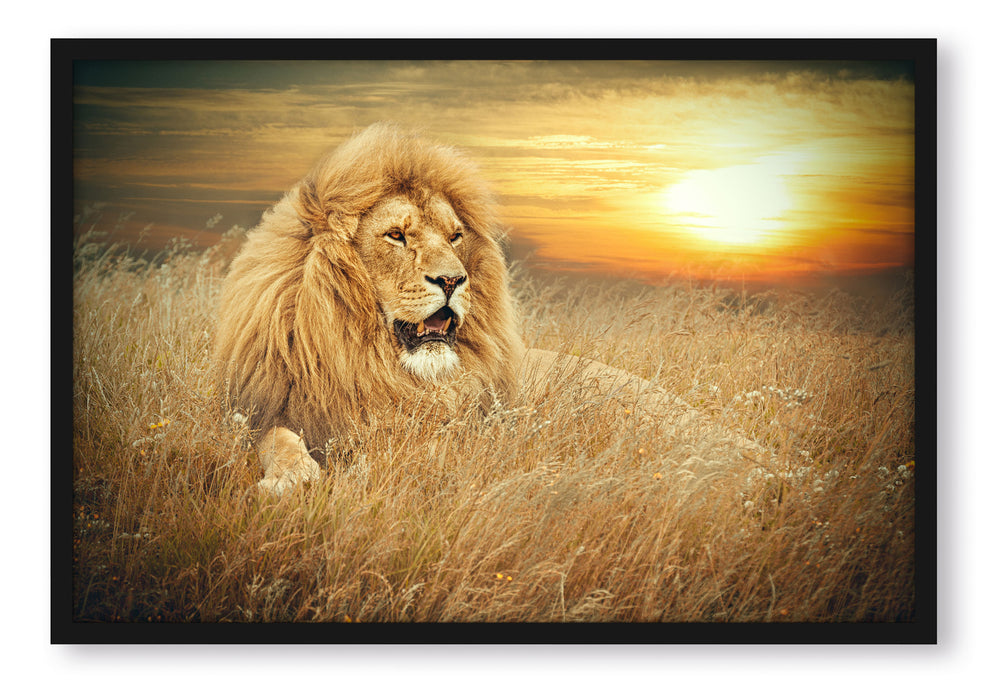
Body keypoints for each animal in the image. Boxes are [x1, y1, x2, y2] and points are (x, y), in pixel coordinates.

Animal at [214, 123, 730, 495]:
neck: (370, 364)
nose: (452, 280)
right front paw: (291, 477)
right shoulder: (263, 411)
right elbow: (276, 438)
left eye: (455, 236)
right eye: (396, 235)